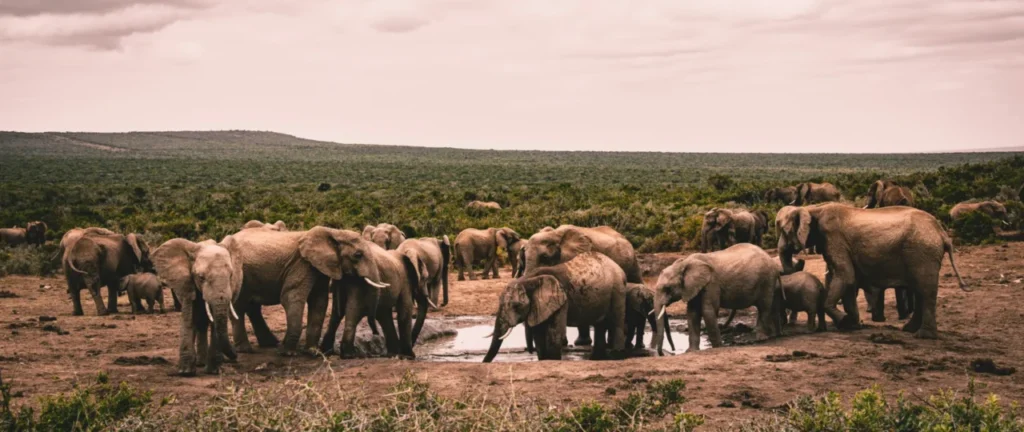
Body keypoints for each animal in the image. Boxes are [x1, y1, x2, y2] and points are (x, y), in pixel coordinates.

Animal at [151, 238, 242, 375]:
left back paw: (204, 363)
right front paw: (186, 372)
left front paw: (213, 371)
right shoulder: (187, 284)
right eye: (201, 277)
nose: (235, 355)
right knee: (199, 323)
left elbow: (214, 323)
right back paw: (200, 363)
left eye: (231, 275)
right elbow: (189, 318)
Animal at [316, 229, 426, 358]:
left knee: (338, 313)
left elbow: (384, 315)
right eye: (425, 279)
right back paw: (349, 354)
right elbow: (404, 310)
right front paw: (409, 356)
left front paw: (394, 353)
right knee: (353, 310)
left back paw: (326, 351)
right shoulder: (405, 281)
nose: (375, 333)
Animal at [483, 252, 627, 362]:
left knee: (616, 321)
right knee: (600, 325)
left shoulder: (561, 300)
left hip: (617, 289)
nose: (484, 363)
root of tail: (620, 269)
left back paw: (616, 356)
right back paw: (597, 358)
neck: (529, 280)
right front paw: (544, 360)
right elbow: (538, 333)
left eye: (516, 306)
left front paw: (553, 360)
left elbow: (554, 332)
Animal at [652, 243, 783, 355]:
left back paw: (760, 339)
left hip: (767, 279)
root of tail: (773, 261)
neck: (684, 263)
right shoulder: (694, 287)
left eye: (667, 288)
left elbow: (708, 311)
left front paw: (718, 347)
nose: (668, 352)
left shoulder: (711, 283)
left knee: (764, 307)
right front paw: (690, 351)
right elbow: (692, 313)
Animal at [776, 204, 968, 338]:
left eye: (783, 231)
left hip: (922, 252)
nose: (798, 258)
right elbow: (848, 280)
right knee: (920, 289)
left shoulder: (833, 238)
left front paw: (844, 321)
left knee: (925, 290)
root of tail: (942, 233)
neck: (813, 208)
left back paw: (923, 336)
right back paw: (909, 330)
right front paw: (852, 325)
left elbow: (844, 275)